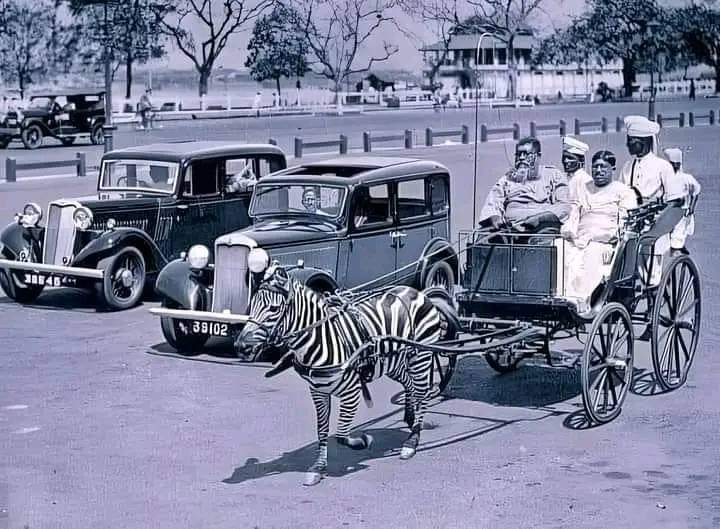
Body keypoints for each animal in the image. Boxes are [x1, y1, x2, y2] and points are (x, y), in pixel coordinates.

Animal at [239, 266, 458, 484]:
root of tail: (419, 292)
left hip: (421, 356)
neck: (322, 339)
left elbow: (341, 435)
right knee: (409, 385)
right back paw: (411, 420)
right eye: (250, 306)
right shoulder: (318, 392)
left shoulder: (352, 392)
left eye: (274, 309)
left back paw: (412, 442)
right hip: (393, 362)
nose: (241, 347)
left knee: (422, 395)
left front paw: (363, 441)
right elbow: (322, 430)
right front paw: (318, 468)